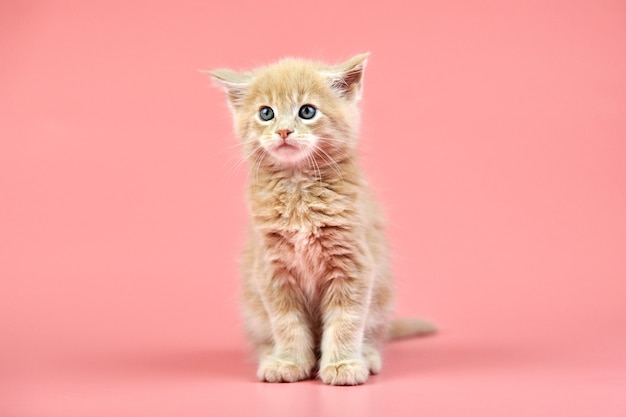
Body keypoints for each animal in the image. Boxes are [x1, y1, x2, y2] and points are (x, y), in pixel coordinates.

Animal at [207, 53, 432, 386]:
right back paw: (270, 355)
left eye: (307, 111)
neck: (298, 188)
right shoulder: (271, 270)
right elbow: (286, 323)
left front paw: (342, 364)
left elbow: (346, 320)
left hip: (381, 297)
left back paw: (367, 355)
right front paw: (288, 362)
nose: (283, 131)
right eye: (266, 113)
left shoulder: (353, 264)